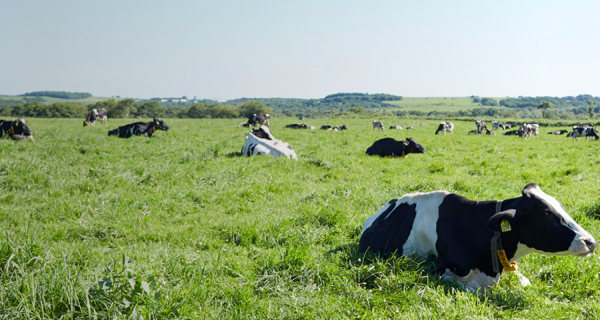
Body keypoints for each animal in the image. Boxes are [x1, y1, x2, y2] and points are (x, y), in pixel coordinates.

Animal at [358, 182, 596, 290]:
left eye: (561, 206)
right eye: (544, 213)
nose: (591, 242)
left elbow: (524, 281)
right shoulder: (437, 270)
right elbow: (475, 289)